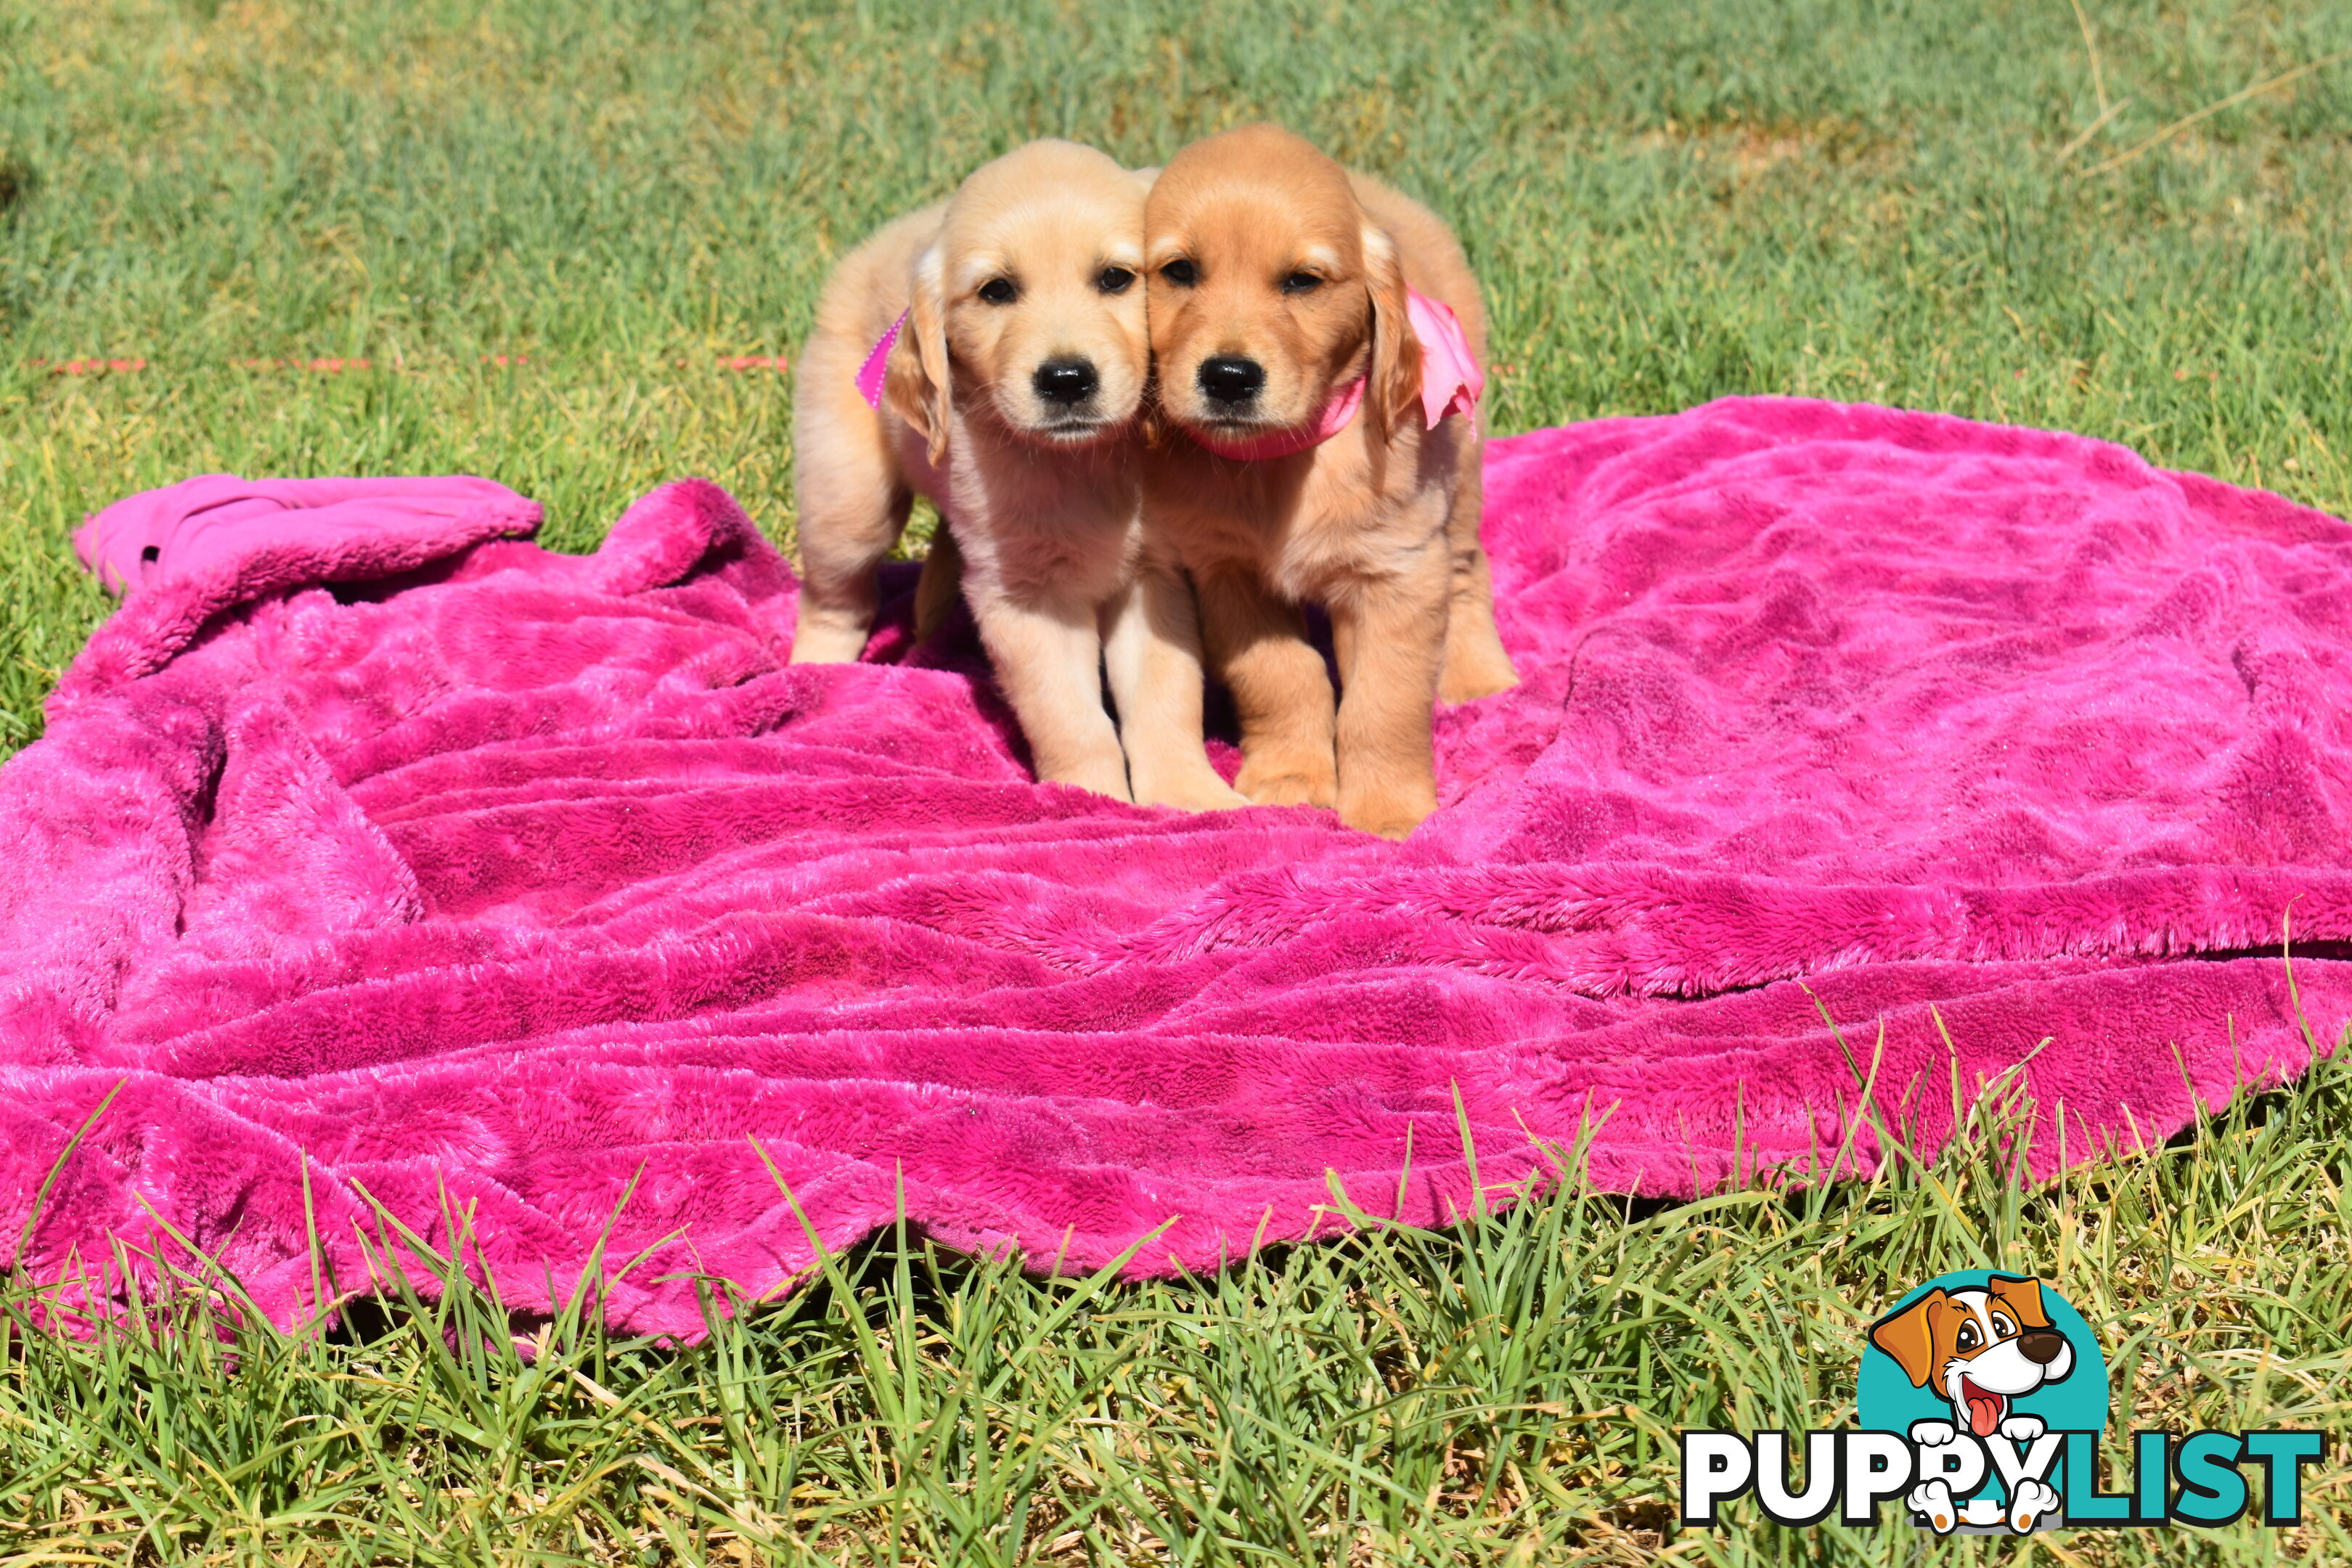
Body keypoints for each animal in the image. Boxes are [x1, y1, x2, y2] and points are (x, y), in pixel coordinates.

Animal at [790, 138, 1241, 809]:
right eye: (997, 291)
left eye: (1115, 278)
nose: (1066, 379)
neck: (1083, 462)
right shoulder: (1026, 598)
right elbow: (1072, 718)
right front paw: (1091, 799)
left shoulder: (1153, 574)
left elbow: (1166, 699)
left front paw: (1190, 794)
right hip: (847, 500)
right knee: (833, 599)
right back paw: (809, 680)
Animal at [1138, 123, 1524, 841]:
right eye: (1179, 271)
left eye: (1302, 282)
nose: (1228, 377)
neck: (1281, 462)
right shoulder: (1229, 574)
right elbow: (1283, 676)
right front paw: (1290, 778)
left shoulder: (1399, 575)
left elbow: (1383, 704)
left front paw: (1389, 811)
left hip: (1459, 482)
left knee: (1468, 572)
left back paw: (1481, 678)